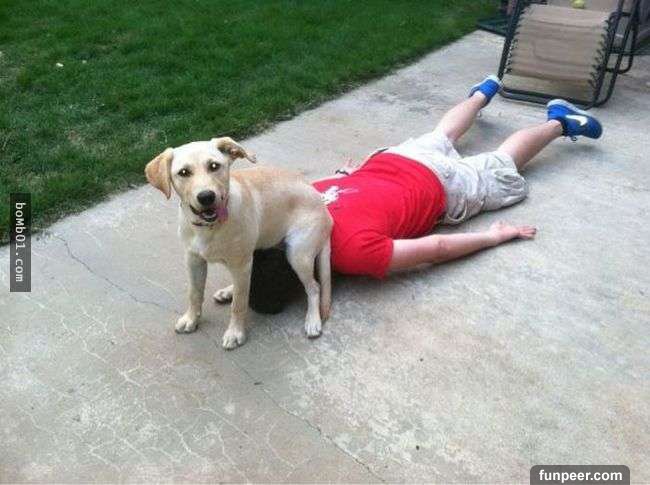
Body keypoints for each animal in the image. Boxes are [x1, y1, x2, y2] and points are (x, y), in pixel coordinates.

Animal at [145, 137, 332, 349]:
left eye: (214, 166)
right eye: (184, 172)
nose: (206, 197)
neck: (208, 228)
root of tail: (327, 215)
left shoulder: (241, 264)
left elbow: (239, 303)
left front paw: (235, 333)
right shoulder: (193, 260)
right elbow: (194, 293)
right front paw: (191, 319)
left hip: (297, 254)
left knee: (314, 287)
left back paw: (313, 320)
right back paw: (228, 291)